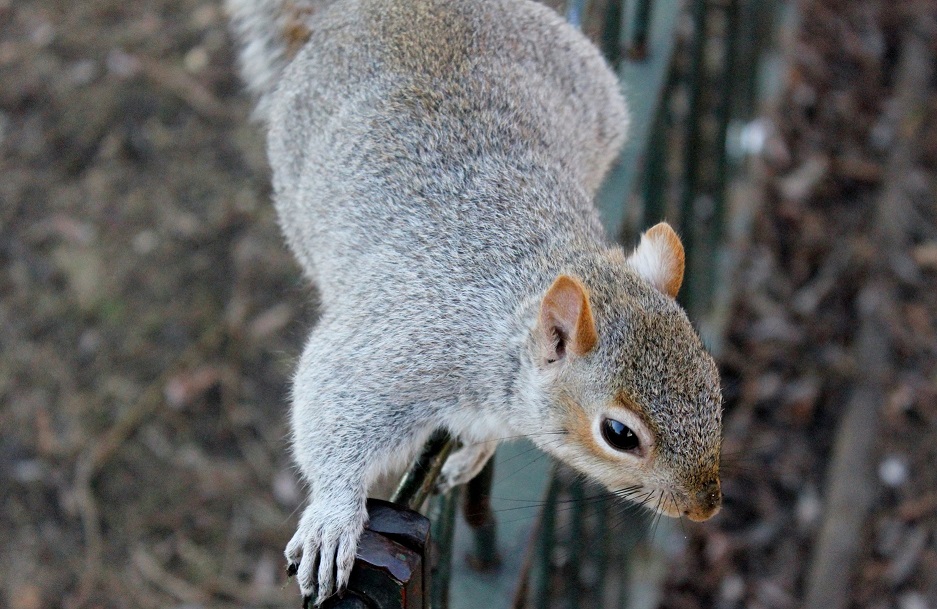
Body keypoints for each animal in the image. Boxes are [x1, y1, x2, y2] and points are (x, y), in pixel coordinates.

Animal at [227, 0, 724, 604]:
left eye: (714, 381)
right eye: (619, 435)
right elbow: (334, 403)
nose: (704, 508)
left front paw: (473, 454)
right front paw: (333, 515)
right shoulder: (401, 340)